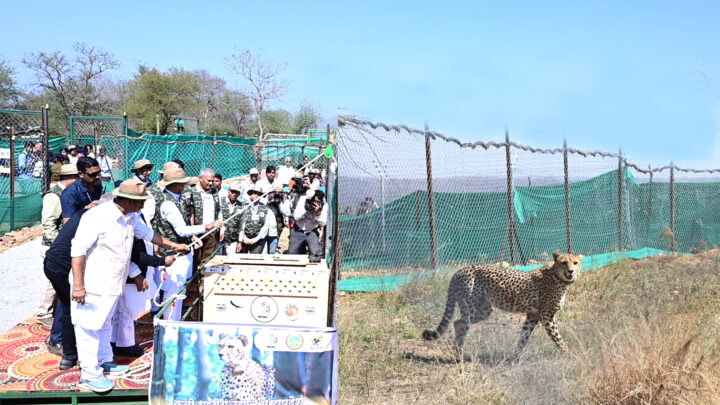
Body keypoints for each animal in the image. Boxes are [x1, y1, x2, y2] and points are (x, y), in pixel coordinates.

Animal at [422, 251, 584, 356]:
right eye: (564, 263)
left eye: (575, 263)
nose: (571, 271)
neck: (559, 278)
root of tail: (460, 271)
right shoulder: (547, 316)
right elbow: (558, 338)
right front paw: (570, 355)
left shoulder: (532, 316)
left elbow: (523, 337)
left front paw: (514, 358)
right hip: (471, 308)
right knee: (460, 323)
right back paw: (459, 353)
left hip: (484, 310)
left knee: (457, 322)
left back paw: (458, 351)